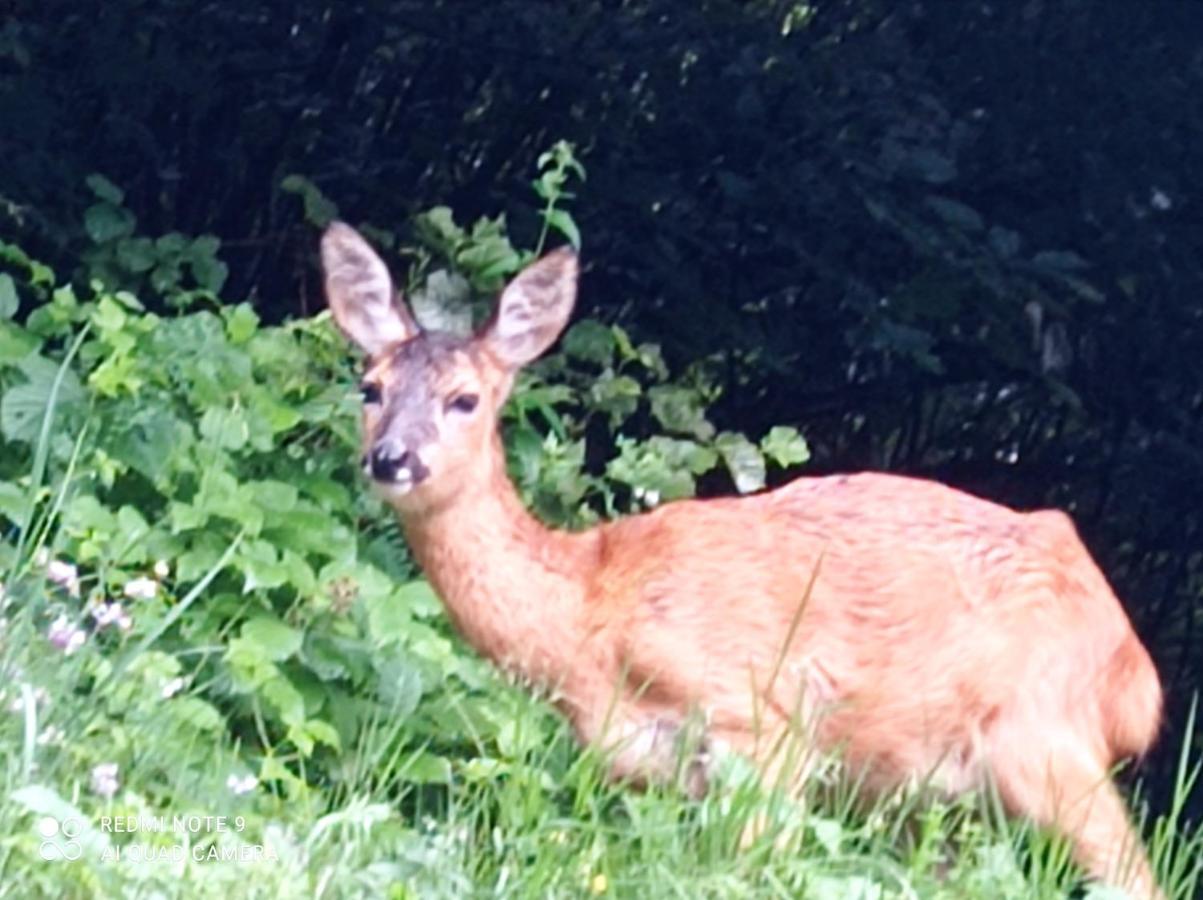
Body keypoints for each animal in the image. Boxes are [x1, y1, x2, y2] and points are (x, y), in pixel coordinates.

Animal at [319, 220, 1164, 900]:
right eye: (369, 387)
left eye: (464, 399)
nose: (391, 459)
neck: (592, 611)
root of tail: (1136, 670)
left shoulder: (760, 723)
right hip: (942, 788)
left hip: (1044, 734)